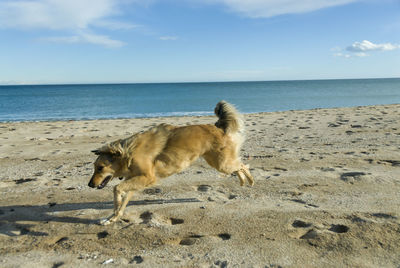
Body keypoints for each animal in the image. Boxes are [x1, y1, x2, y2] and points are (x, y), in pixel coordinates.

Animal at [89, 101, 255, 225]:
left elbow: (116, 188)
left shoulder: (147, 177)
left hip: (222, 164)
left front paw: (114, 210)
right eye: (95, 167)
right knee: (238, 167)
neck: (128, 152)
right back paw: (242, 181)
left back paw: (250, 180)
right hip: (218, 162)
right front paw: (112, 218)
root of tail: (218, 127)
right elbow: (122, 200)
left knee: (243, 165)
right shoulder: (135, 179)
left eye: (100, 168)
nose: (90, 185)